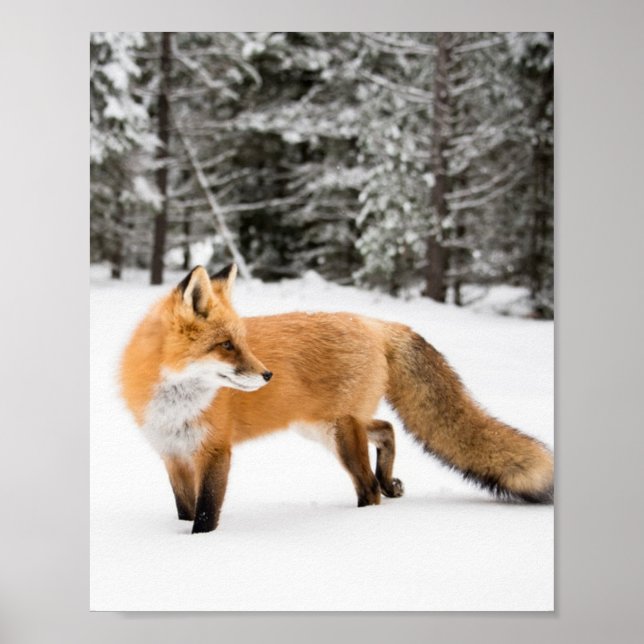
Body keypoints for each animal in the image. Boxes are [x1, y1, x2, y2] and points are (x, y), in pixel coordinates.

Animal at [120, 264, 554, 534]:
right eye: (226, 345)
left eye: (242, 342)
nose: (267, 375)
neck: (176, 404)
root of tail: (375, 323)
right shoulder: (173, 455)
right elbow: (185, 510)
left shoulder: (215, 451)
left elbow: (206, 514)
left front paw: (200, 547)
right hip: (324, 427)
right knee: (387, 429)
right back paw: (389, 482)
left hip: (340, 432)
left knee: (369, 487)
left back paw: (364, 515)